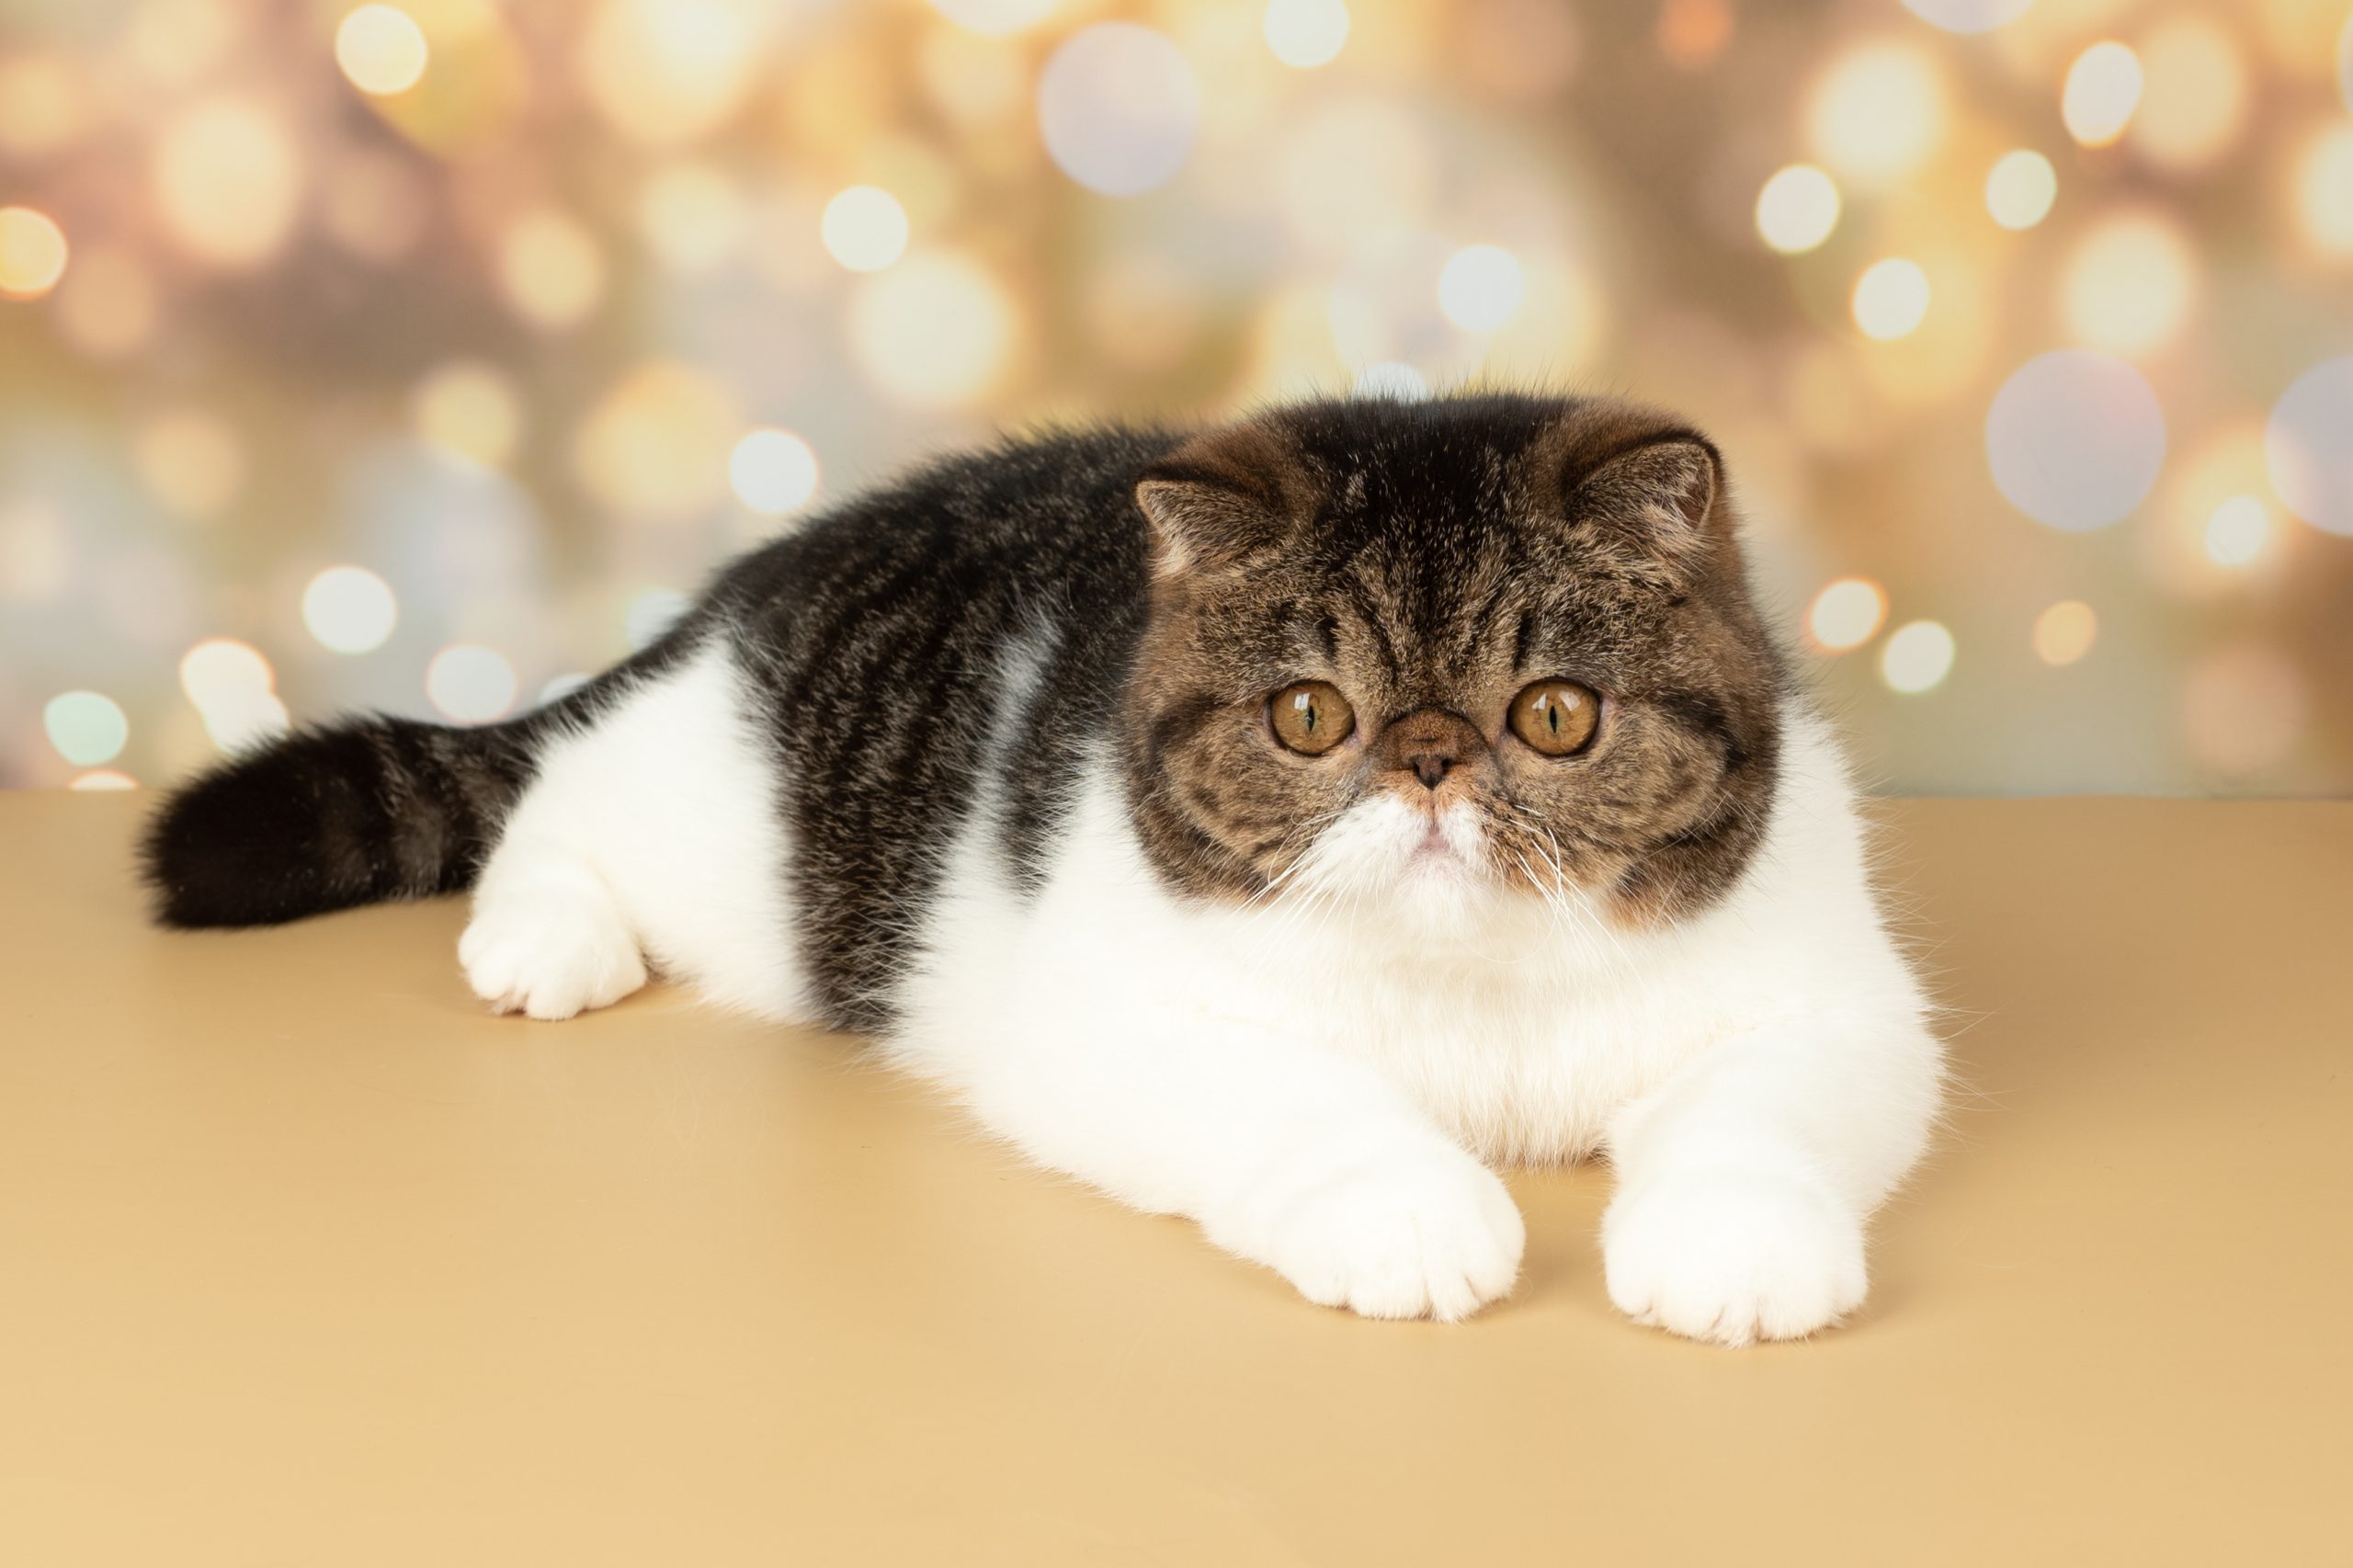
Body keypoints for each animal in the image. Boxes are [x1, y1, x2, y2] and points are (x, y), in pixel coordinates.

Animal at [152, 391, 1948, 1346]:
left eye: (1555, 715)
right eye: (1312, 715)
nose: (1430, 764)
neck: (1477, 1004)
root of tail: (747, 588)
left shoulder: (1836, 1005)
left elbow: (1761, 1107)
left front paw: (1731, 1244)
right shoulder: (1104, 1016)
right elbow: (1305, 1099)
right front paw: (1413, 1208)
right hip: (713, 807)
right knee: (552, 793)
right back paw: (546, 937)